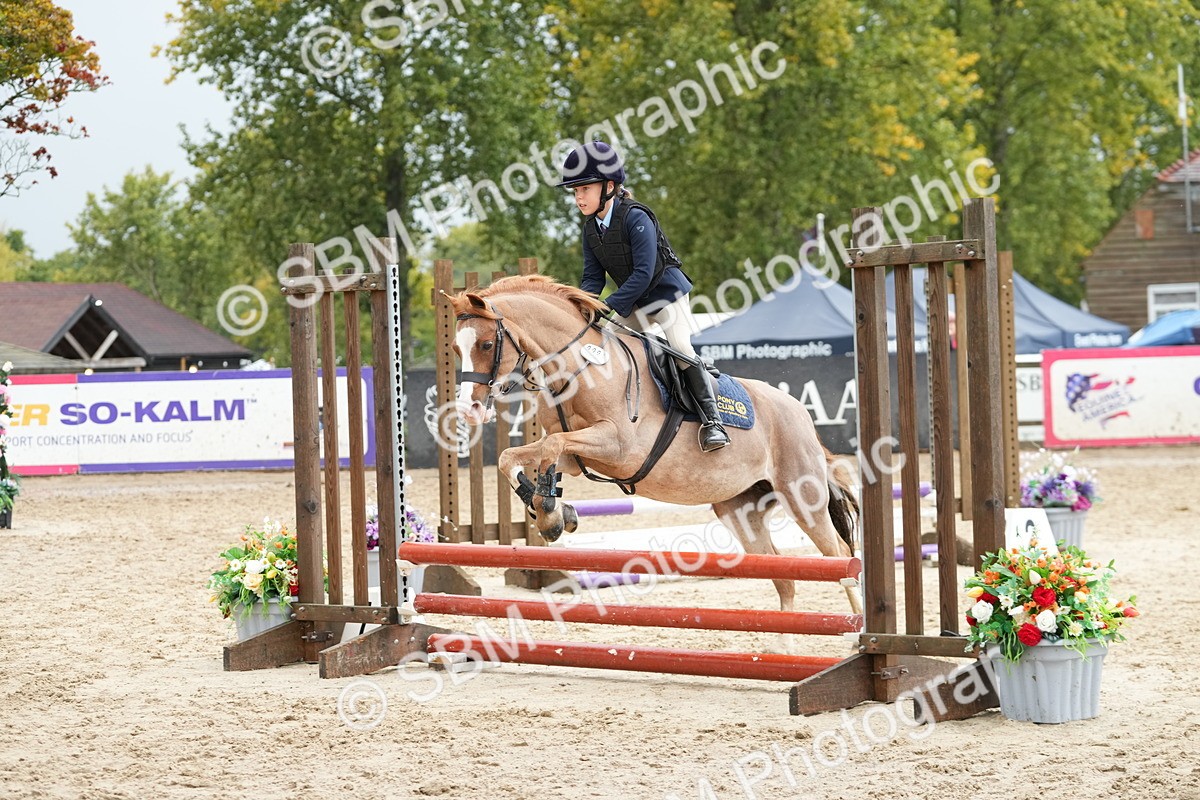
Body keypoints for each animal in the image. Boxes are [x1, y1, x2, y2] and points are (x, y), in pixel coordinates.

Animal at [448, 275, 863, 616]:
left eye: (486, 343)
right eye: (455, 348)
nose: (468, 409)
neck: (582, 370)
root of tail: (801, 413)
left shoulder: (616, 446)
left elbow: (551, 445)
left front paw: (550, 513)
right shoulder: (579, 455)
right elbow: (518, 456)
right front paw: (549, 508)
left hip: (802, 495)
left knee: (840, 557)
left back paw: (856, 630)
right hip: (741, 508)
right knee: (783, 575)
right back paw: (782, 648)